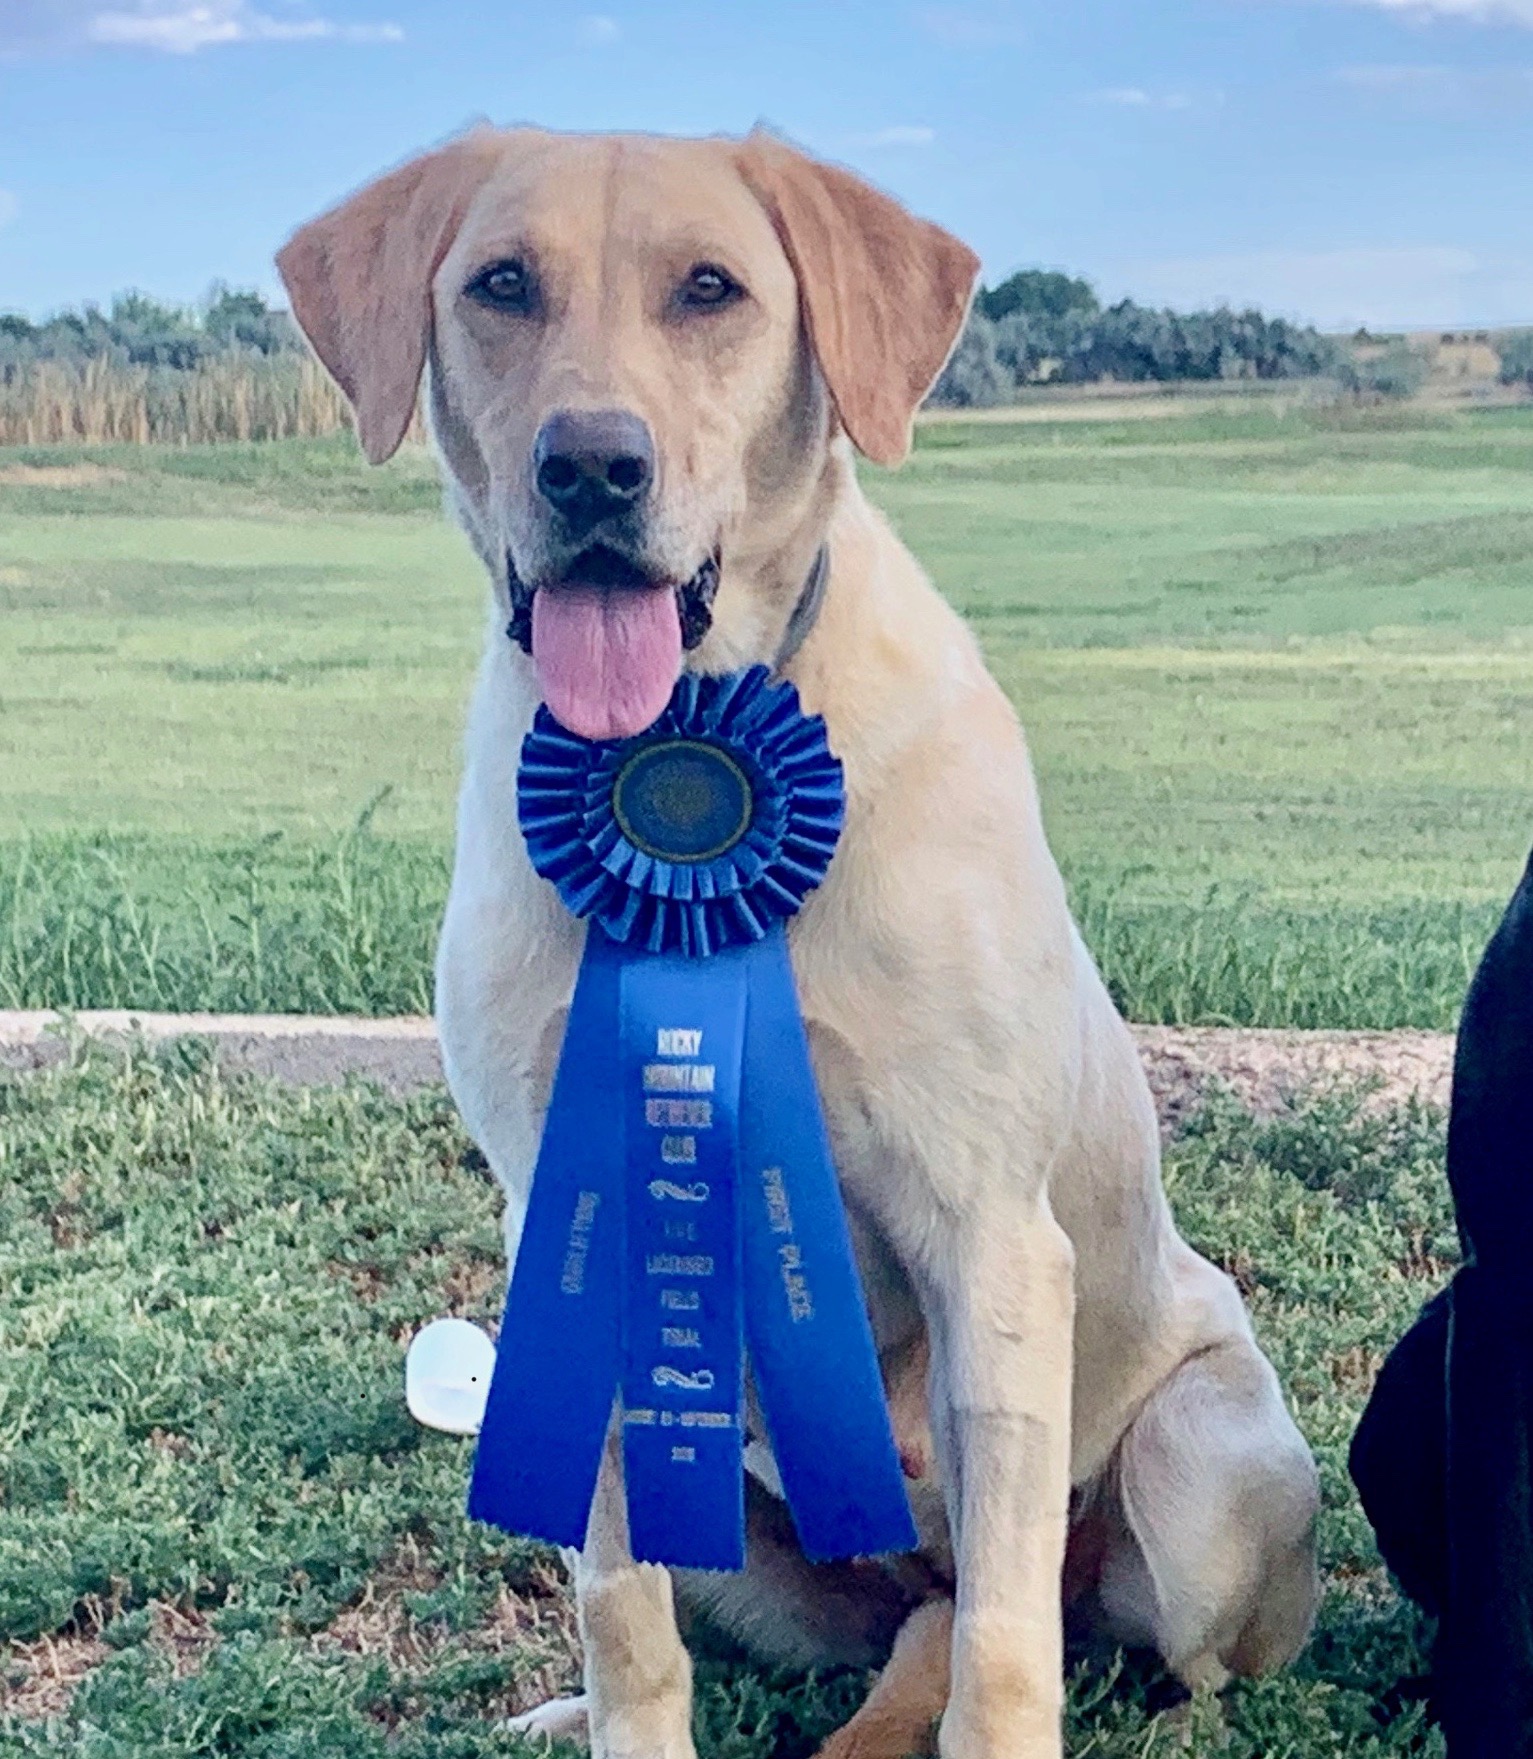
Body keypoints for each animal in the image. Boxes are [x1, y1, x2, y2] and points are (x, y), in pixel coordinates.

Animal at [281, 127, 1322, 1759]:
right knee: (883, 1621)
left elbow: (1008, 1653)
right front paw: (614, 1715)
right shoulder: (569, 1236)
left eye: (711, 289)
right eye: (500, 285)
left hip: (1197, 1463)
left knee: (1095, 1634)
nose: (592, 464)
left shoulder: (989, 1235)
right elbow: (621, 1607)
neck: (684, 743)